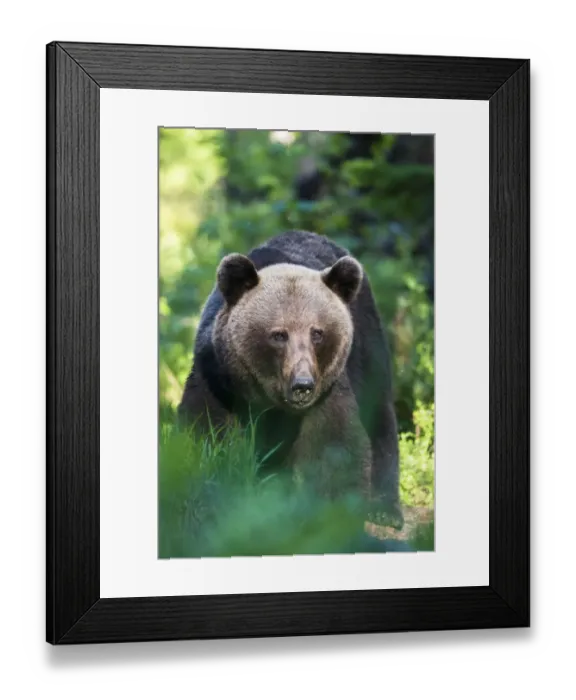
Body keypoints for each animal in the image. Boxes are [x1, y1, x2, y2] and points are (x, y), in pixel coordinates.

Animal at [178, 230, 403, 529]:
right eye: (278, 334)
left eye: (317, 332)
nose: (302, 386)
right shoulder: (216, 379)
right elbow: (205, 436)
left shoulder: (328, 391)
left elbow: (334, 448)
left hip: (367, 341)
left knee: (379, 411)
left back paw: (386, 510)